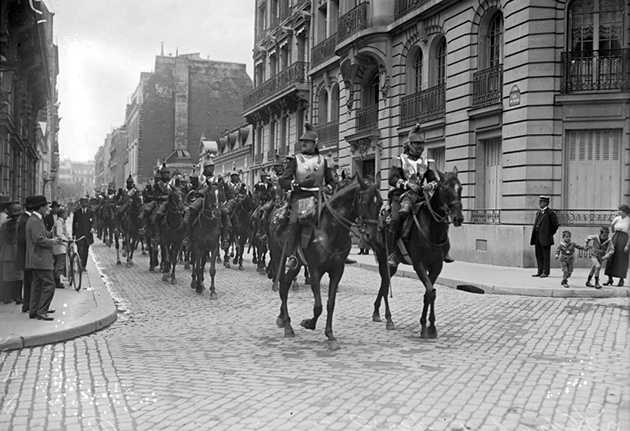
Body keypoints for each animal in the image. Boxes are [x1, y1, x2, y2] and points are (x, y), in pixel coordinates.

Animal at [266, 176, 380, 352]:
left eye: (380, 203)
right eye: (366, 202)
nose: (370, 235)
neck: (331, 230)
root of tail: (276, 213)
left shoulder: (337, 271)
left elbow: (330, 304)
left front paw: (331, 336)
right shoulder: (315, 270)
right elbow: (318, 305)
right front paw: (308, 323)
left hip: (297, 264)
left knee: (285, 285)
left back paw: (284, 319)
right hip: (279, 256)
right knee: (281, 285)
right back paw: (288, 327)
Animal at [372, 167, 466, 340]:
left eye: (460, 188)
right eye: (444, 188)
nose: (458, 218)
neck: (432, 229)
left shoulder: (436, 265)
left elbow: (431, 292)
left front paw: (431, 327)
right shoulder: (419, 265)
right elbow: (429, 292)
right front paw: (425, 328)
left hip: (392, 265)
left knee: (384, 284)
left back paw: (376, 313)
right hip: (383, 258)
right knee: (386, 283)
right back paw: (389, 320)